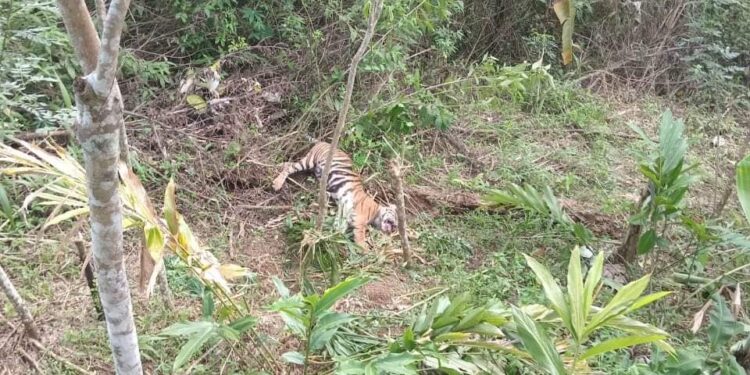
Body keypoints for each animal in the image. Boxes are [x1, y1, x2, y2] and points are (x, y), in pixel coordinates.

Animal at [272, 141, 400, 250]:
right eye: (395, 219)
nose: (393, 229)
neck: (376, 215)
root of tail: (324, 142)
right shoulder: (360, 222)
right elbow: (360, 237)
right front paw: (366, 251)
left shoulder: (344, 212)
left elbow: (339, 227)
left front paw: (329, 238)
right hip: (310, 160)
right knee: (290, 168)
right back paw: (277, 184)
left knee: (289, 163)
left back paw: (279, 165)